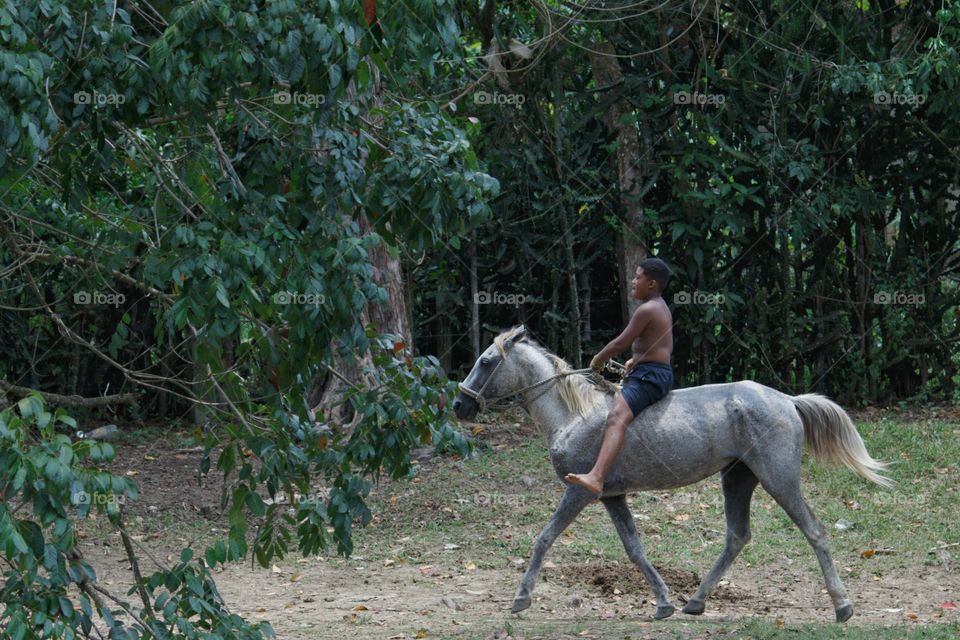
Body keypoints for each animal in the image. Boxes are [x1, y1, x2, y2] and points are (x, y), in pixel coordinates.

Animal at [452, 324, 892, 620]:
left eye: (486, 361)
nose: (459, 405)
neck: (573, 416)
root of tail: (787, 399)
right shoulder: (612, 496)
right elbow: (634, 548)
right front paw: (663, 602)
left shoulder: (580, 492)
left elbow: (544, 538)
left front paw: (520, 598)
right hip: (738, 477)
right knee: (737, 536)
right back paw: (694, 602)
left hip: (778, 477)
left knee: (813, 530)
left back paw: (842, 605)